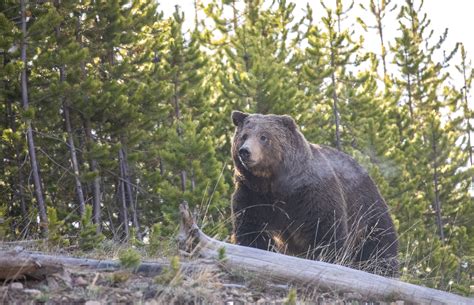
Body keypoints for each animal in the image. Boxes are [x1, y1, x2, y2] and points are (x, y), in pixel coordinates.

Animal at [231, 110, 398, 276]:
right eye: (244, 136)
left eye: (264, 136)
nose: (245, 151)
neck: (274, 184)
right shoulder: (253, 194)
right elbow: (251, 226)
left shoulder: (310, 194)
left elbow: (325, 230)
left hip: (367, 209)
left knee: (379, 245)